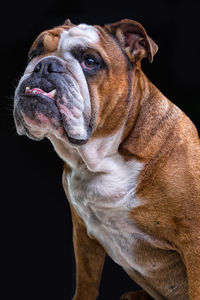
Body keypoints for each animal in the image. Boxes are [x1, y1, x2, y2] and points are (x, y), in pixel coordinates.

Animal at [13, 19, 200, 300]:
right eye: (34, 53)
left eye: (90, 61)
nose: (45, 65)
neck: (102, 159)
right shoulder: (83, 233)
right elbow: (87, 281)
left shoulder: (193, 243)